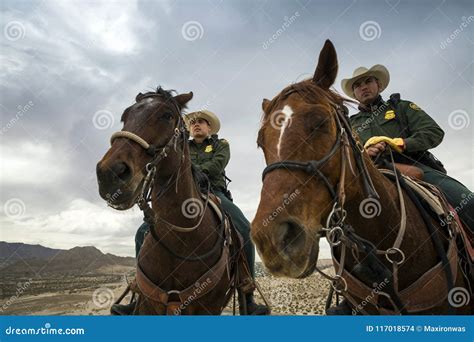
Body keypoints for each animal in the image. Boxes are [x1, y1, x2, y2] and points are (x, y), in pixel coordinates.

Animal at [94, 87, 254, 314]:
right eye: (125, 116)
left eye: (167, 116)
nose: (110, 174)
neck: (180, 243)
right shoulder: (149, 305)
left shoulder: (208, 307)